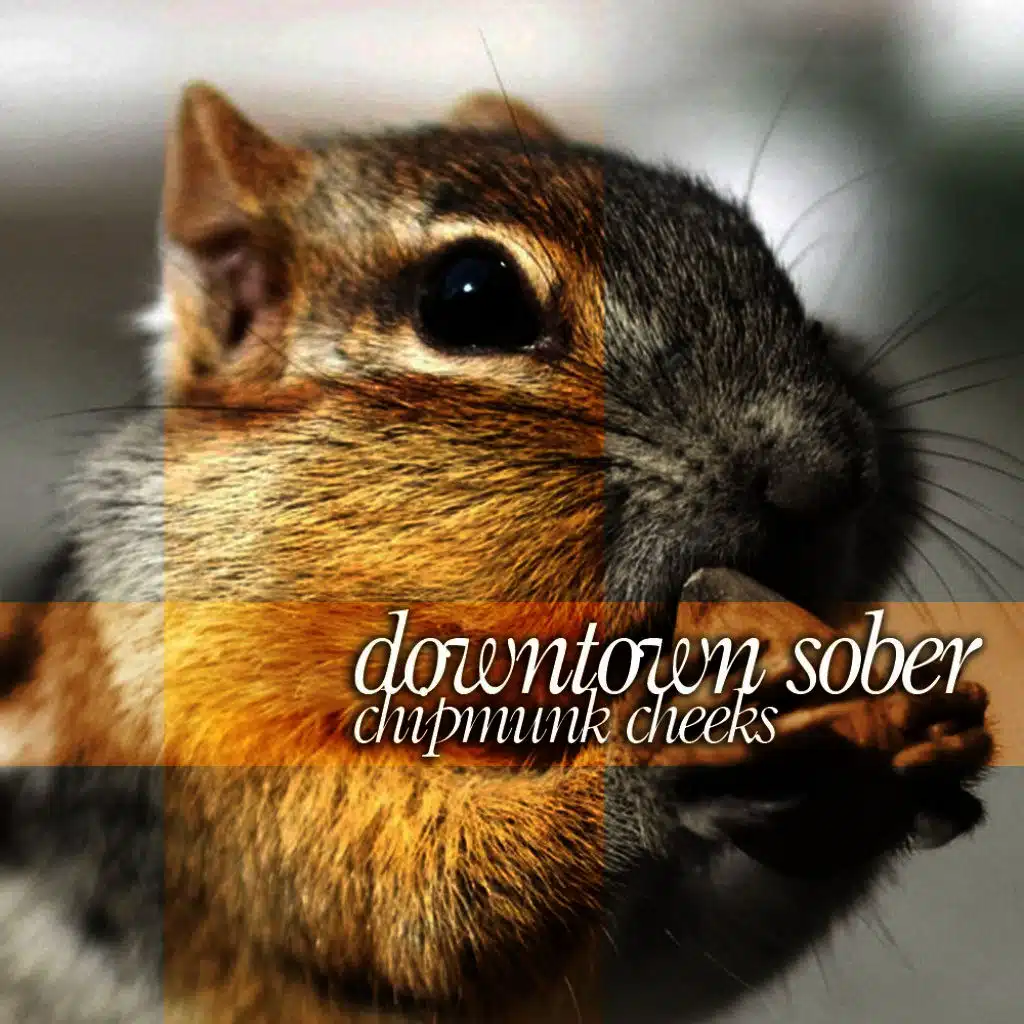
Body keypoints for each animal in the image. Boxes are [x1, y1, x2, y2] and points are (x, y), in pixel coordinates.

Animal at [0, 84, 994, 1023]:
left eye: (785, 283)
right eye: (471, 295)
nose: (826, 474)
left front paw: (929, 728)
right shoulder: (193, 738)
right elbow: (400, 892)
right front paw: (656, 757)